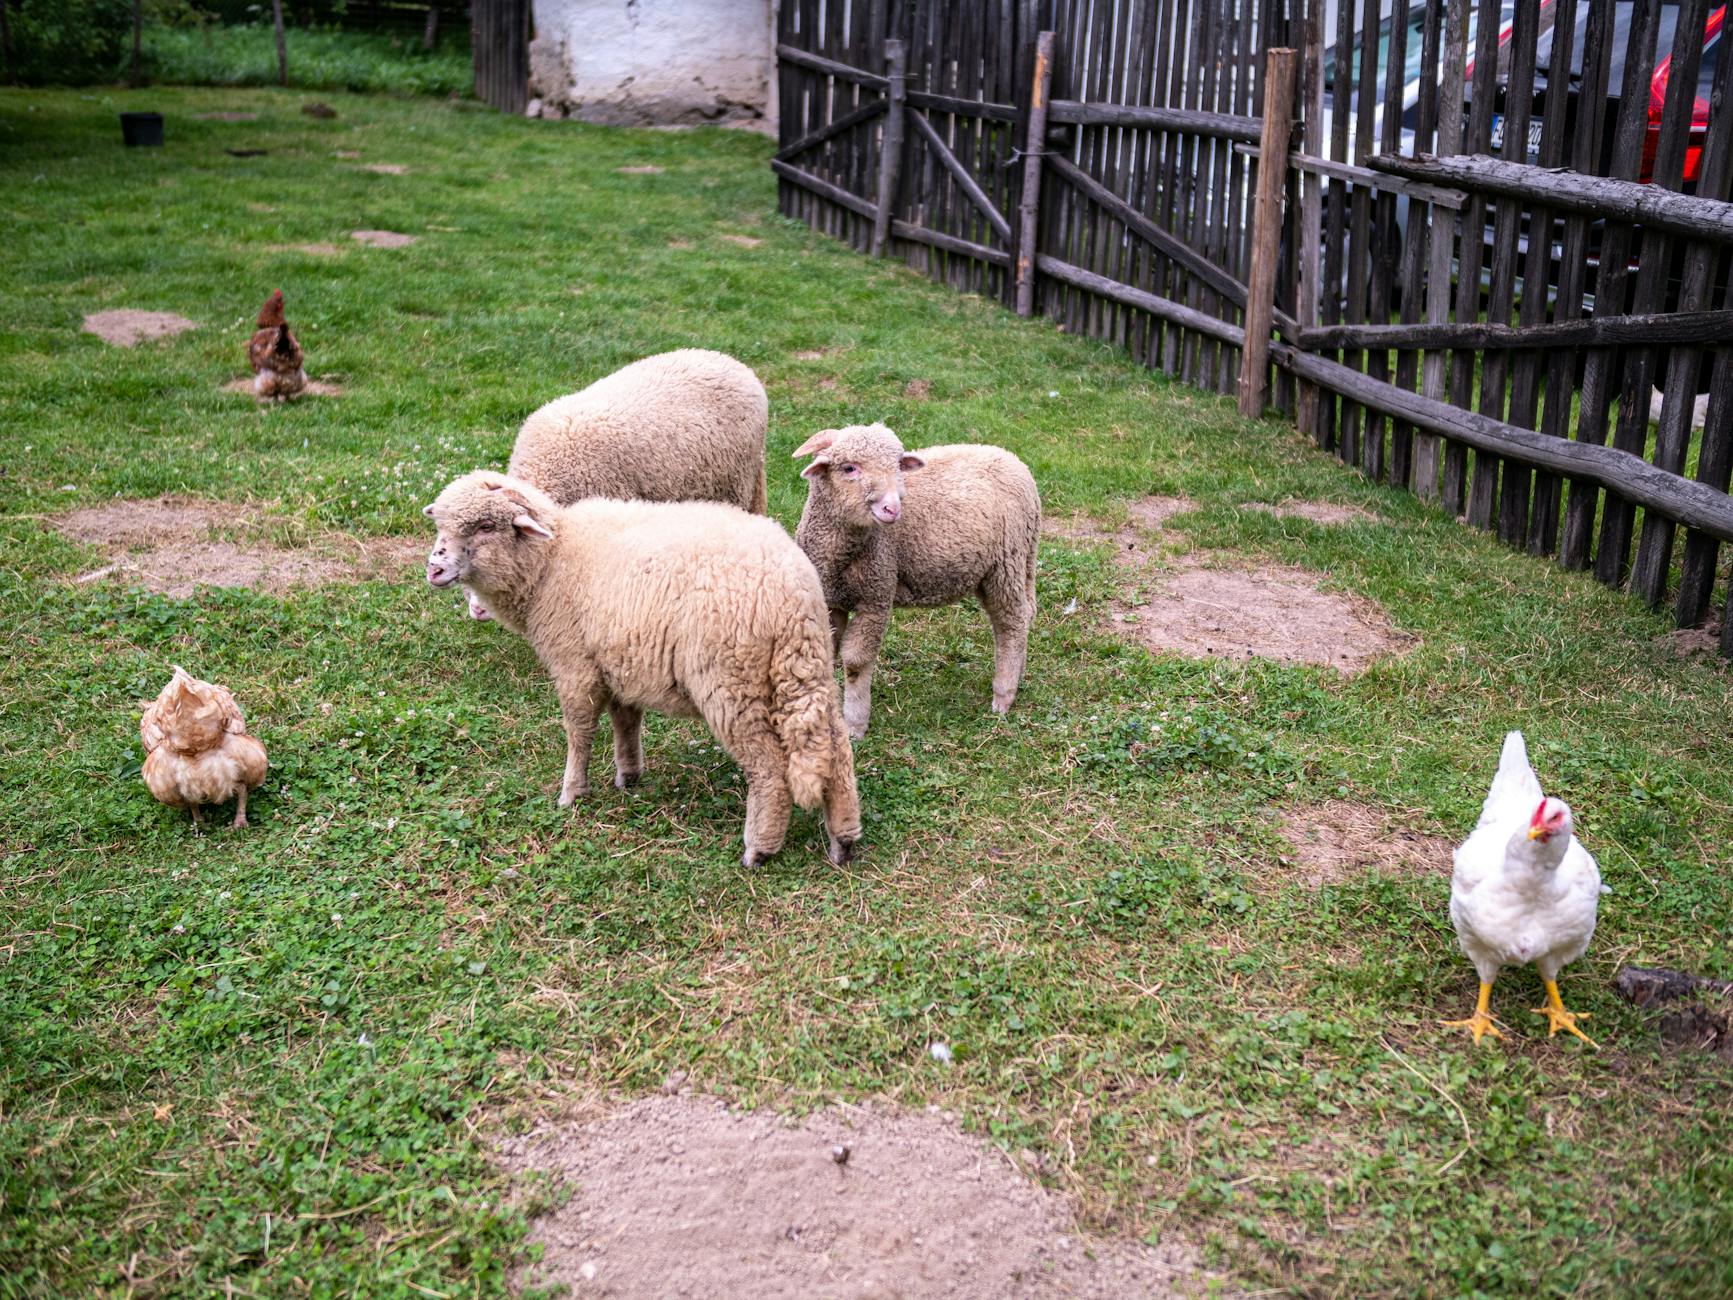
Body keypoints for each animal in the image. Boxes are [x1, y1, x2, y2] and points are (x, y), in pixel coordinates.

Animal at [424, 470, 861, 867]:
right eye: (441, 526)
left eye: (485, 526)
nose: (434, 568)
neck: (550, 561)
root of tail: (793, 593)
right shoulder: (620, 663)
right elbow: (625, 720)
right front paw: (628, 775)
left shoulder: (576, 664)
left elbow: (579, 731)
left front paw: (571, 792)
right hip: (807, 666)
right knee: (837, 751)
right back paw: (842, 840)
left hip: (733, 681)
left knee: (769, 768)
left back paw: (759, 848)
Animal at [792, 423, 1040, 738]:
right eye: (849, 468)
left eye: (898, 465)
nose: (892, 508)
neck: (842, 552)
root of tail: (1018, 464)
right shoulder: (829, 600)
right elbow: (826, 654)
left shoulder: (876, 596)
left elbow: (857, 663)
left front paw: (855, 724)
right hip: (1011, 564)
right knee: (1023, 614)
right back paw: (1019, 675)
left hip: (1006, 563)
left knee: (1011, 624)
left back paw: (1003, 695)